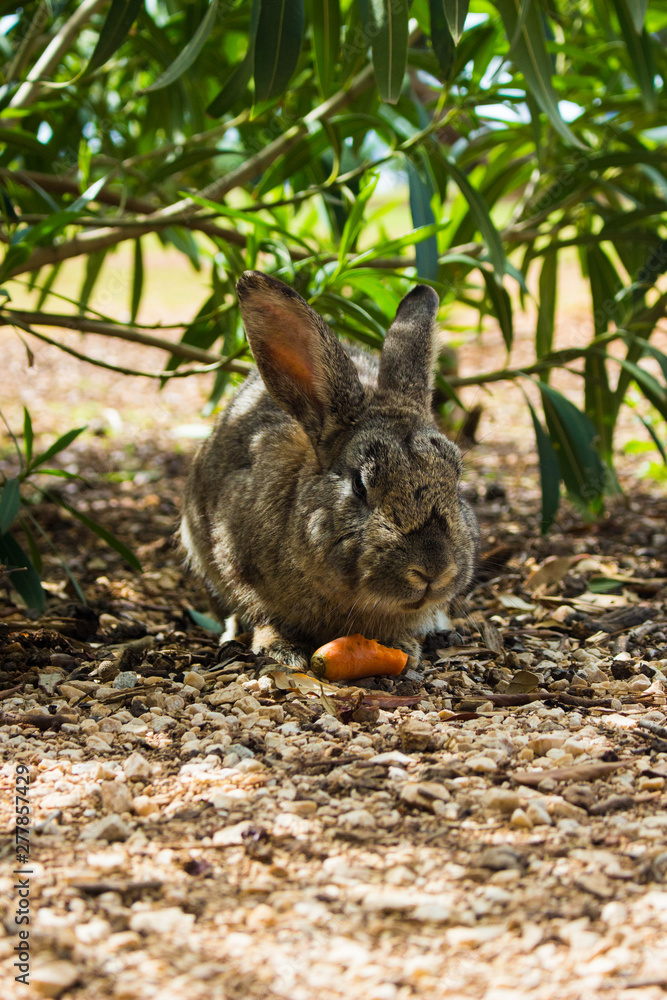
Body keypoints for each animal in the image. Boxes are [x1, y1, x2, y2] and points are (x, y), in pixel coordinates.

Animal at [181, 270, 479, 670]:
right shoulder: (235, 562)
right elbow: (263, 614)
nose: (434, 568)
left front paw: (402, 645)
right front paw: (281, 649)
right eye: (359, 486)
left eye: (456, 480)